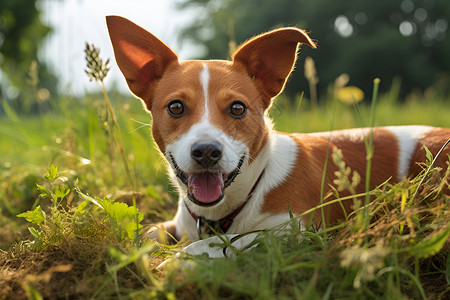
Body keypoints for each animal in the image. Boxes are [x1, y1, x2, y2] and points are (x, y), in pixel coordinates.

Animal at [106, 15, 450, 253]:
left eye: (237, 108)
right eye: (176, 107)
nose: (206, 152)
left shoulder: (295, 232)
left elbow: (225, 243)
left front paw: (180, 260)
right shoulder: (179, 223)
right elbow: (148, 231)